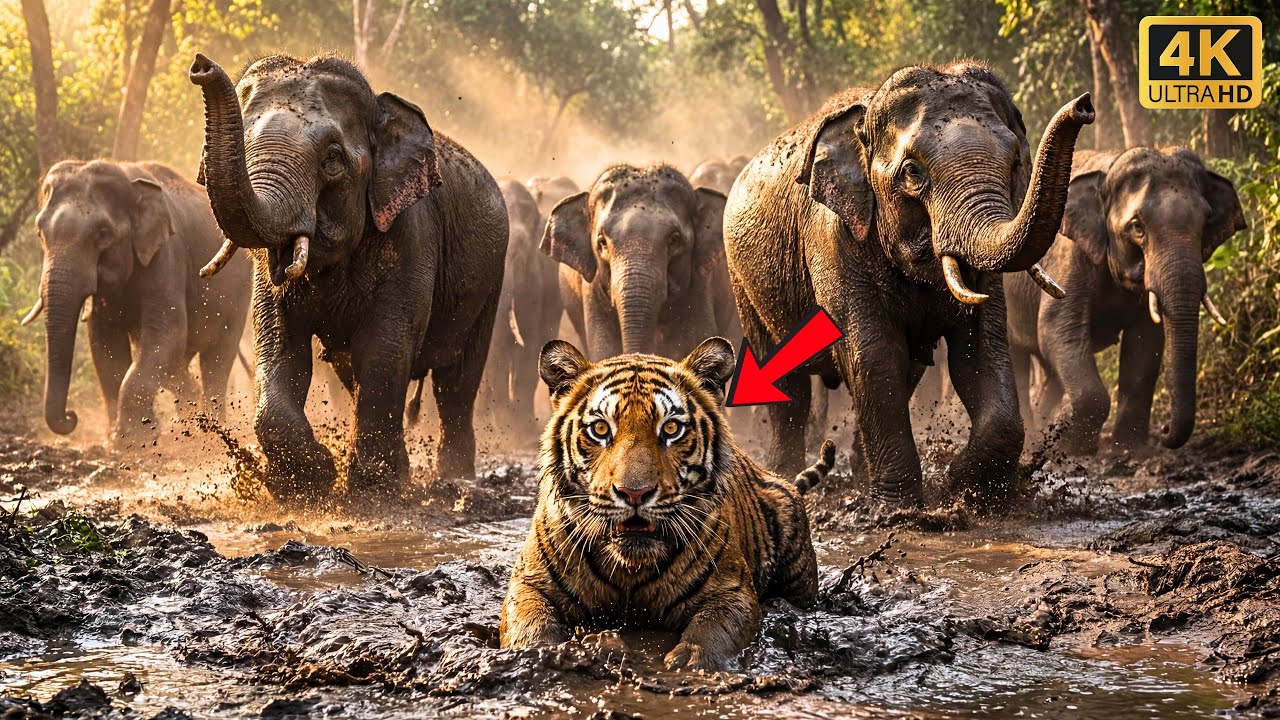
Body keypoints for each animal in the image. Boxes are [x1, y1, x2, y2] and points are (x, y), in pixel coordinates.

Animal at [25, 159, 250, 444]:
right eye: (40, 232)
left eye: (103, 234)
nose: (70, 416)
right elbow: (105, 343)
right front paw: (121, 440)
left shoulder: (167, 254)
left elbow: (167, 333)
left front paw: (132, 440)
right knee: (177, 362)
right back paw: (190, 424)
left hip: (240, 294)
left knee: (217, 359)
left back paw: (212, 433)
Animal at [189, 53, 507, 503]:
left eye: (332, 160)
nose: (200, 64)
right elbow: (279, 342)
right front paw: (308, 480)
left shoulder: (413, 236)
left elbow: (384, 347)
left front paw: (375, 489)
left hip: (491, 281)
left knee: (457, 383)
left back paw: (455, 481)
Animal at [499, 336, 835, 672]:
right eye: (601, 429)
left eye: (671, 429)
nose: (634, 492)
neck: (629, 571)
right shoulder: (528, 584)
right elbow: (530, 623)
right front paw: (538, 653)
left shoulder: (732, 591)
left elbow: (714, 629)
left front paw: (691, 659)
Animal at [723, 63, 1094, 508]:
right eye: (913, 172)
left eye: (1015, 162)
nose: (1084, 105)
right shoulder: (831, 239)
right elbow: (873, 354)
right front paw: (902, 510)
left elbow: (979, 352)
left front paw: (960, 486)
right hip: (743, 282)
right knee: (782, 380)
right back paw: (782, 477)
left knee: (909, 369)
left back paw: (858, 477)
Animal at [1006, 147, 1245, 455]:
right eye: (1136, 227)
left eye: (1206, 222)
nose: (1165, 431)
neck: (1109, 168)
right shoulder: (1067, 256)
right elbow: (1056, 328)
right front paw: (1074, 447)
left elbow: (1146, 342)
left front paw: (1128, 453)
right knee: (1019, 360)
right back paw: (1030, 440)